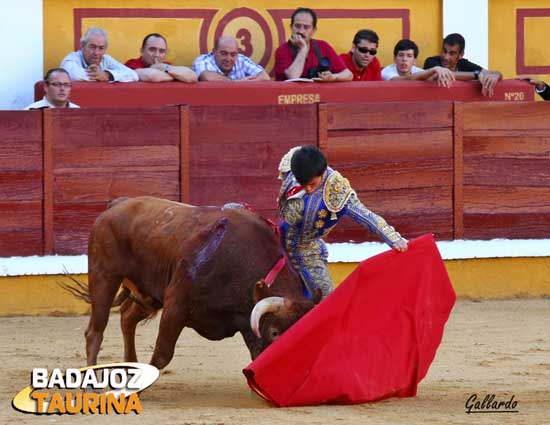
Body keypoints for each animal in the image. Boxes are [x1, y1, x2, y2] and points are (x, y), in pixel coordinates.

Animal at [84, 195, 322, 368]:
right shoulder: (176, 304)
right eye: (274, 332)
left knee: (127, 318)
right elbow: (162, 354)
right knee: (95, 332)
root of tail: (116, 205)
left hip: (148, 292)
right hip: (103, 276)